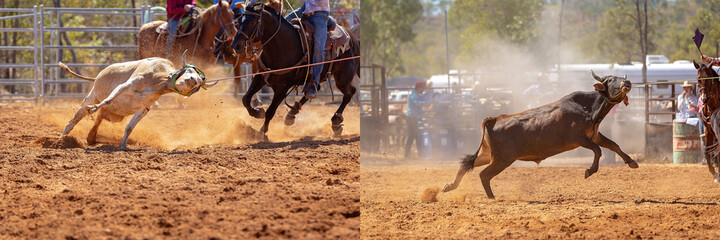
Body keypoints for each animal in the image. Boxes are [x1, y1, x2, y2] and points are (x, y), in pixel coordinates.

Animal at [231, 2, 360, 140]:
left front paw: (262, 133)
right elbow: (245, 99)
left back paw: (336, 122)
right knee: (314, 89)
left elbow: (270, 111)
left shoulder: (282, 88)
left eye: (251, 22)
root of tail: (353, 38)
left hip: (342, 78)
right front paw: (257, 112)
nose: (235, 46)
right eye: (239, 21)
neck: (282, 47)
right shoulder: (260, 77)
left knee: (350, 92)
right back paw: (292, 114)